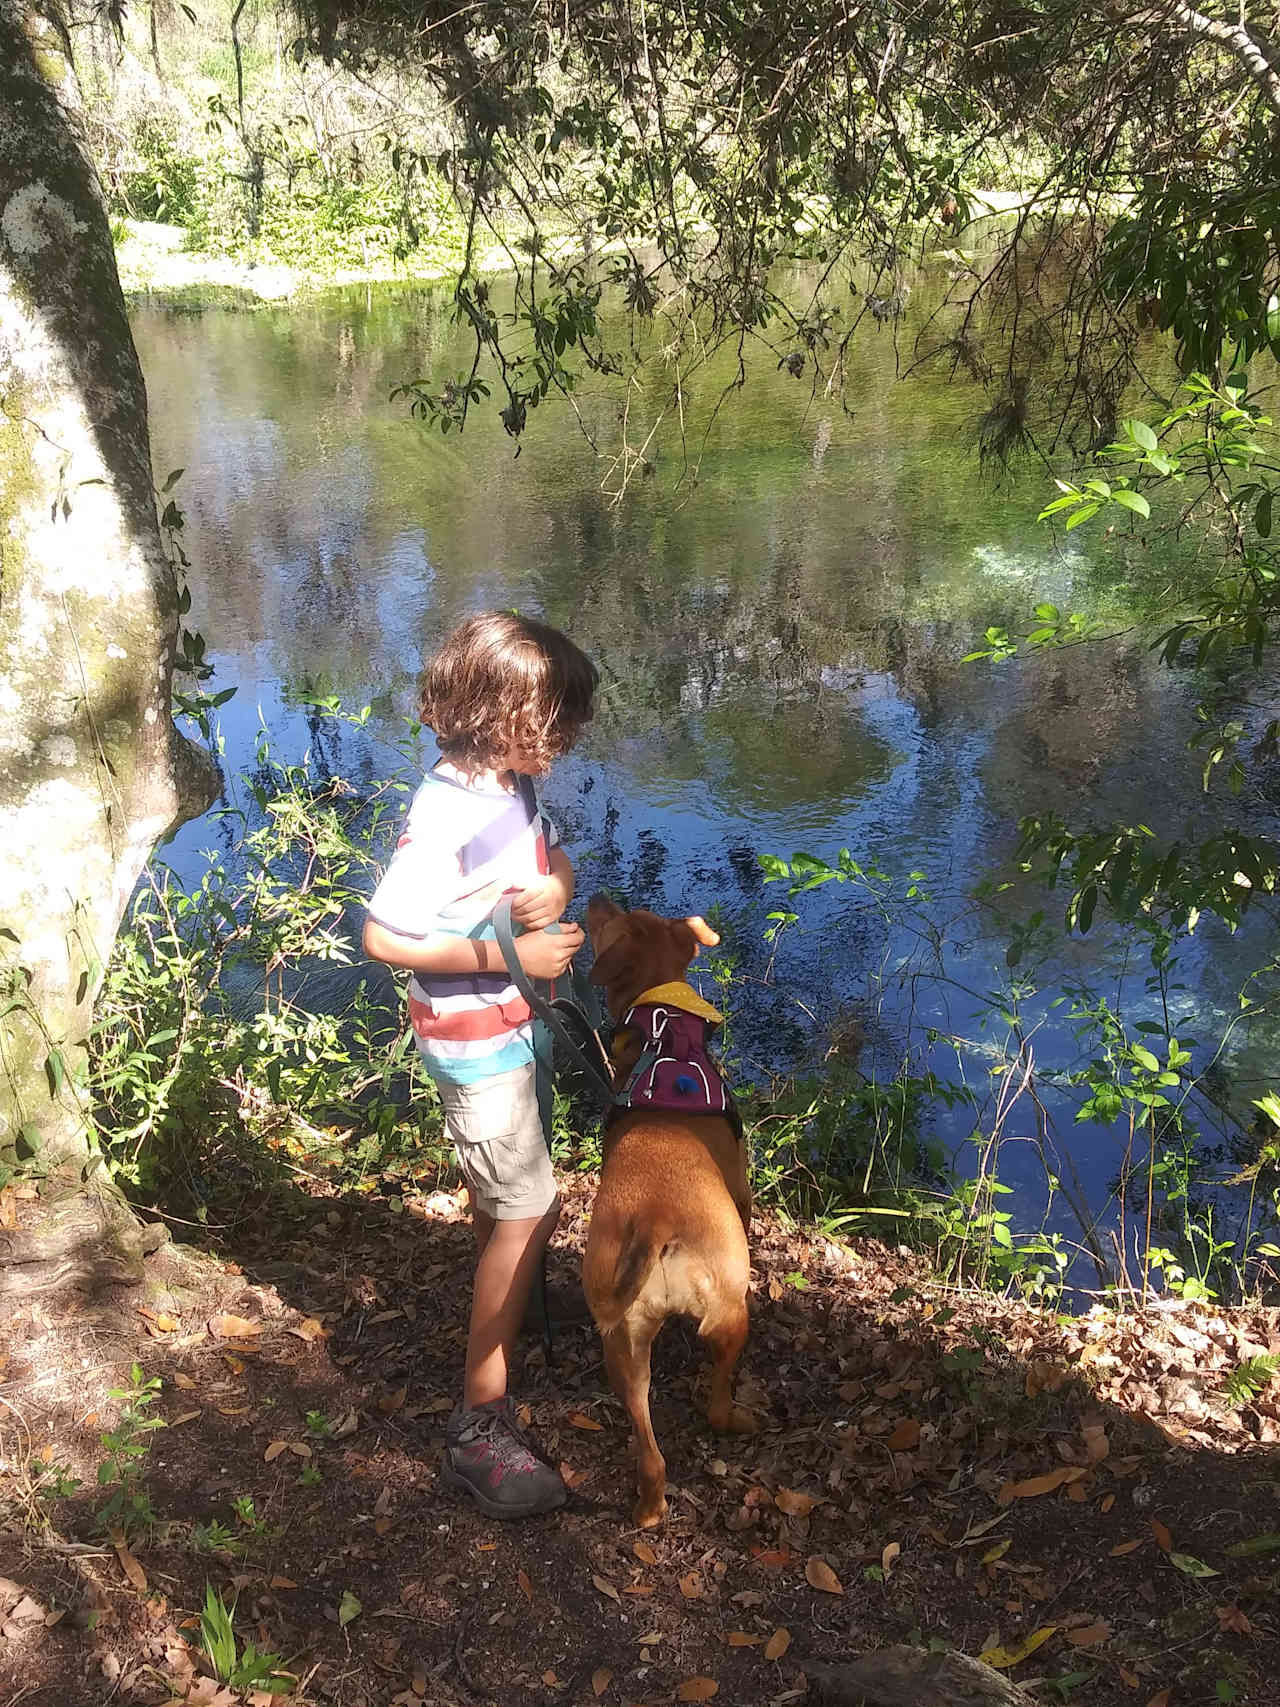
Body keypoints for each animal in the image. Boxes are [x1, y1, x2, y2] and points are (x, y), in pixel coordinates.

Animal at [583, 901, 757, 1529]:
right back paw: (739, 1419)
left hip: (625, 1345)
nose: (595, 896)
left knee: (649, 1448)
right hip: (731, 1310)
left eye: (625, 911)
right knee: (717, 1405)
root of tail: (657, 1217)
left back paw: (649, 1510)